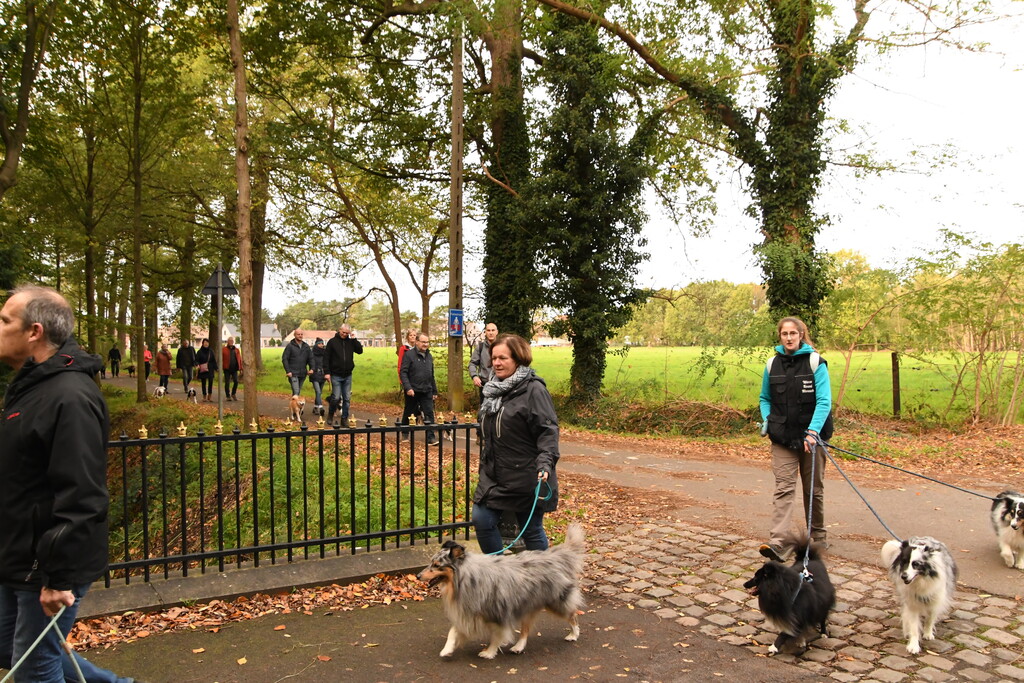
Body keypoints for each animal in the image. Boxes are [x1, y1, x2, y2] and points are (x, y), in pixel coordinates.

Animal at [416, 523, 585, 659]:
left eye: (437, 565)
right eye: (431, 563)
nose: (418, 576)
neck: (465, 577)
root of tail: (556, 557)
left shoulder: (498, 614)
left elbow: (497, 636)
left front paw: (489, 652)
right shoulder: (468, 611)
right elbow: (453, 631)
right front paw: (447, 650)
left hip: (556, 601)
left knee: (572, 615)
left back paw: (574, 634)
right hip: (527, 604)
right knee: (525, 630)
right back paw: (518, 647)